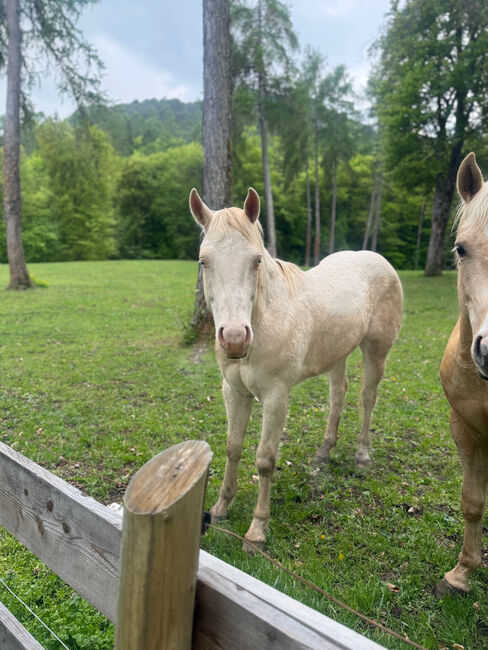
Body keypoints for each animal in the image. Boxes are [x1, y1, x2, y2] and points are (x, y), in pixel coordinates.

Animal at [189, 187, 403, 550]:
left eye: (257, 260)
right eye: (204, 261)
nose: (234, 339)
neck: (266, 319)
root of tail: (379, 260)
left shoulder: (276, 397)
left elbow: (264, 460)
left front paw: (257, 531)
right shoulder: (234, 392)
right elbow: (233, 447)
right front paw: (219, 509)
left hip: (376, 351)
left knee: (367, 398)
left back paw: (362, 456)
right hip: (337, 354)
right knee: (337, 396)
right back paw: (324, 453)